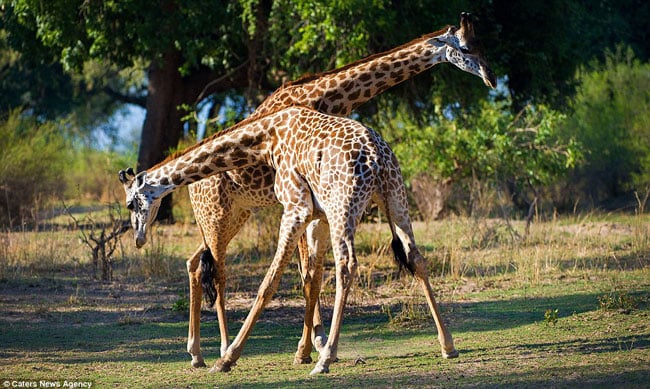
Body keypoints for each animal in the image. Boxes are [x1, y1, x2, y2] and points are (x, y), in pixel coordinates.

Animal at [182, 11, 492, 366]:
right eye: (466, 48)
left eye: (481, 44)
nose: (490, 77)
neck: (327, 98)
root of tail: (189, 188)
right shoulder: (304, 200)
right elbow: (307, 273)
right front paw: (312, 345)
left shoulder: (310, 203)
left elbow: (312, 274)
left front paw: (312, 344)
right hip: (215, 215)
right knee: (216, 272)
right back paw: (221, 348)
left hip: (235, 214)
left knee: (195, 263)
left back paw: (196, 353)